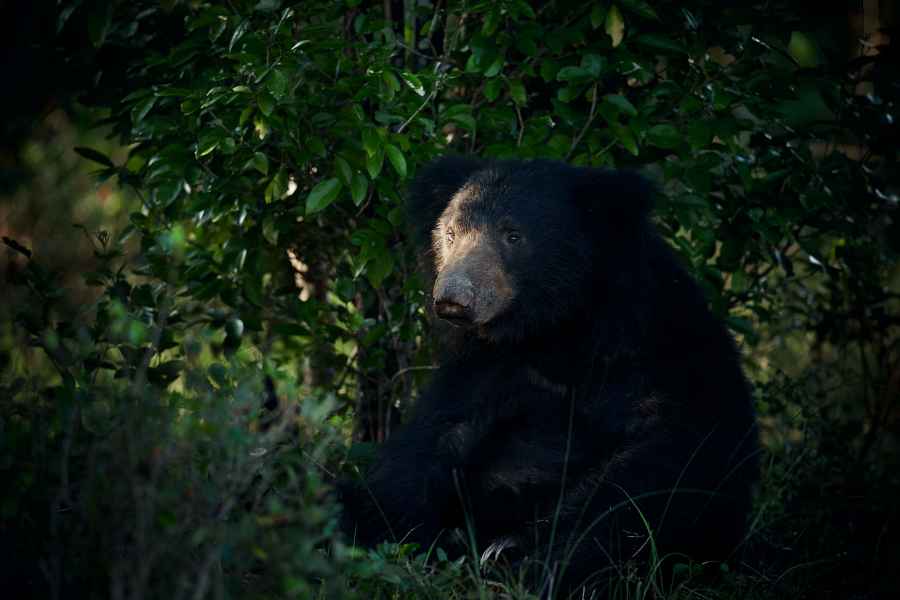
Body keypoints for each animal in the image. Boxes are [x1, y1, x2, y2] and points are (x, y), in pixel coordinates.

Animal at [339, 157, 759, 595]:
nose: (452, 299)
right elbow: (423, 450)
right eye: (450, 234)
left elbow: (659, 467)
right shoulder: (486, 367)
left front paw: (525, 558)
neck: (554, 329)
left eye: (513, 235)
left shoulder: (658, 354)